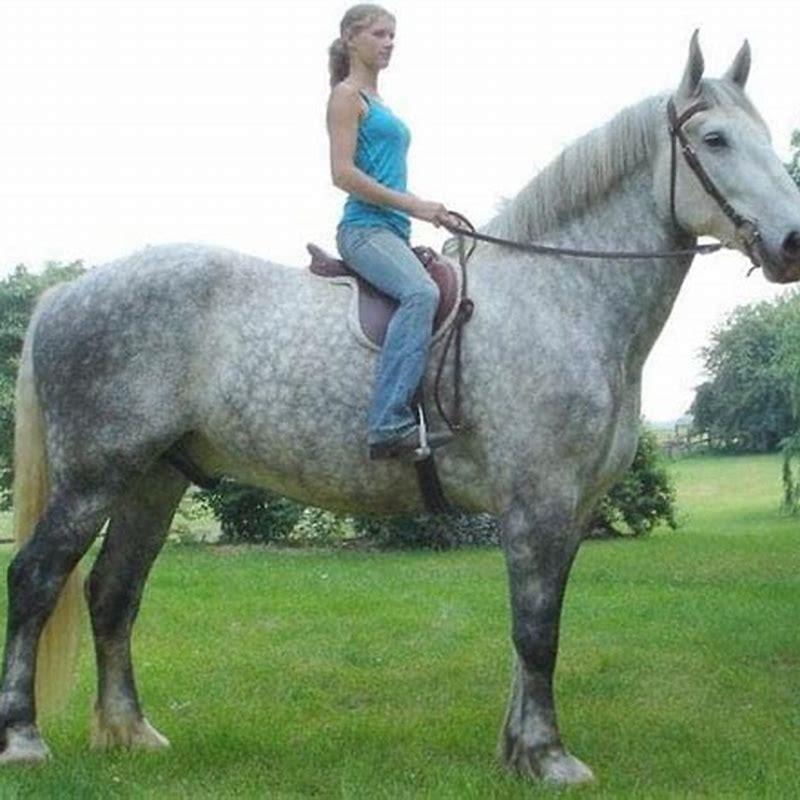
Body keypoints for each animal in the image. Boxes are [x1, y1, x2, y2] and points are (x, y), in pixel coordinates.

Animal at [3, 33, 800, 785]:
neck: (557, 294)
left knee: (113, 592)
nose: (792, 243)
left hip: (154, 478)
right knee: (38, 578)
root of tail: (67, 293)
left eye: (767, 136)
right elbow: (537, 629)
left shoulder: (568, 510)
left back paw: (129, 732)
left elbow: (534, 628)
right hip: (94, 477)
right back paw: (25, 740)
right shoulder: (538, 501)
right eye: (714, 140)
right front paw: (550, 757)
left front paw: (517, 750)